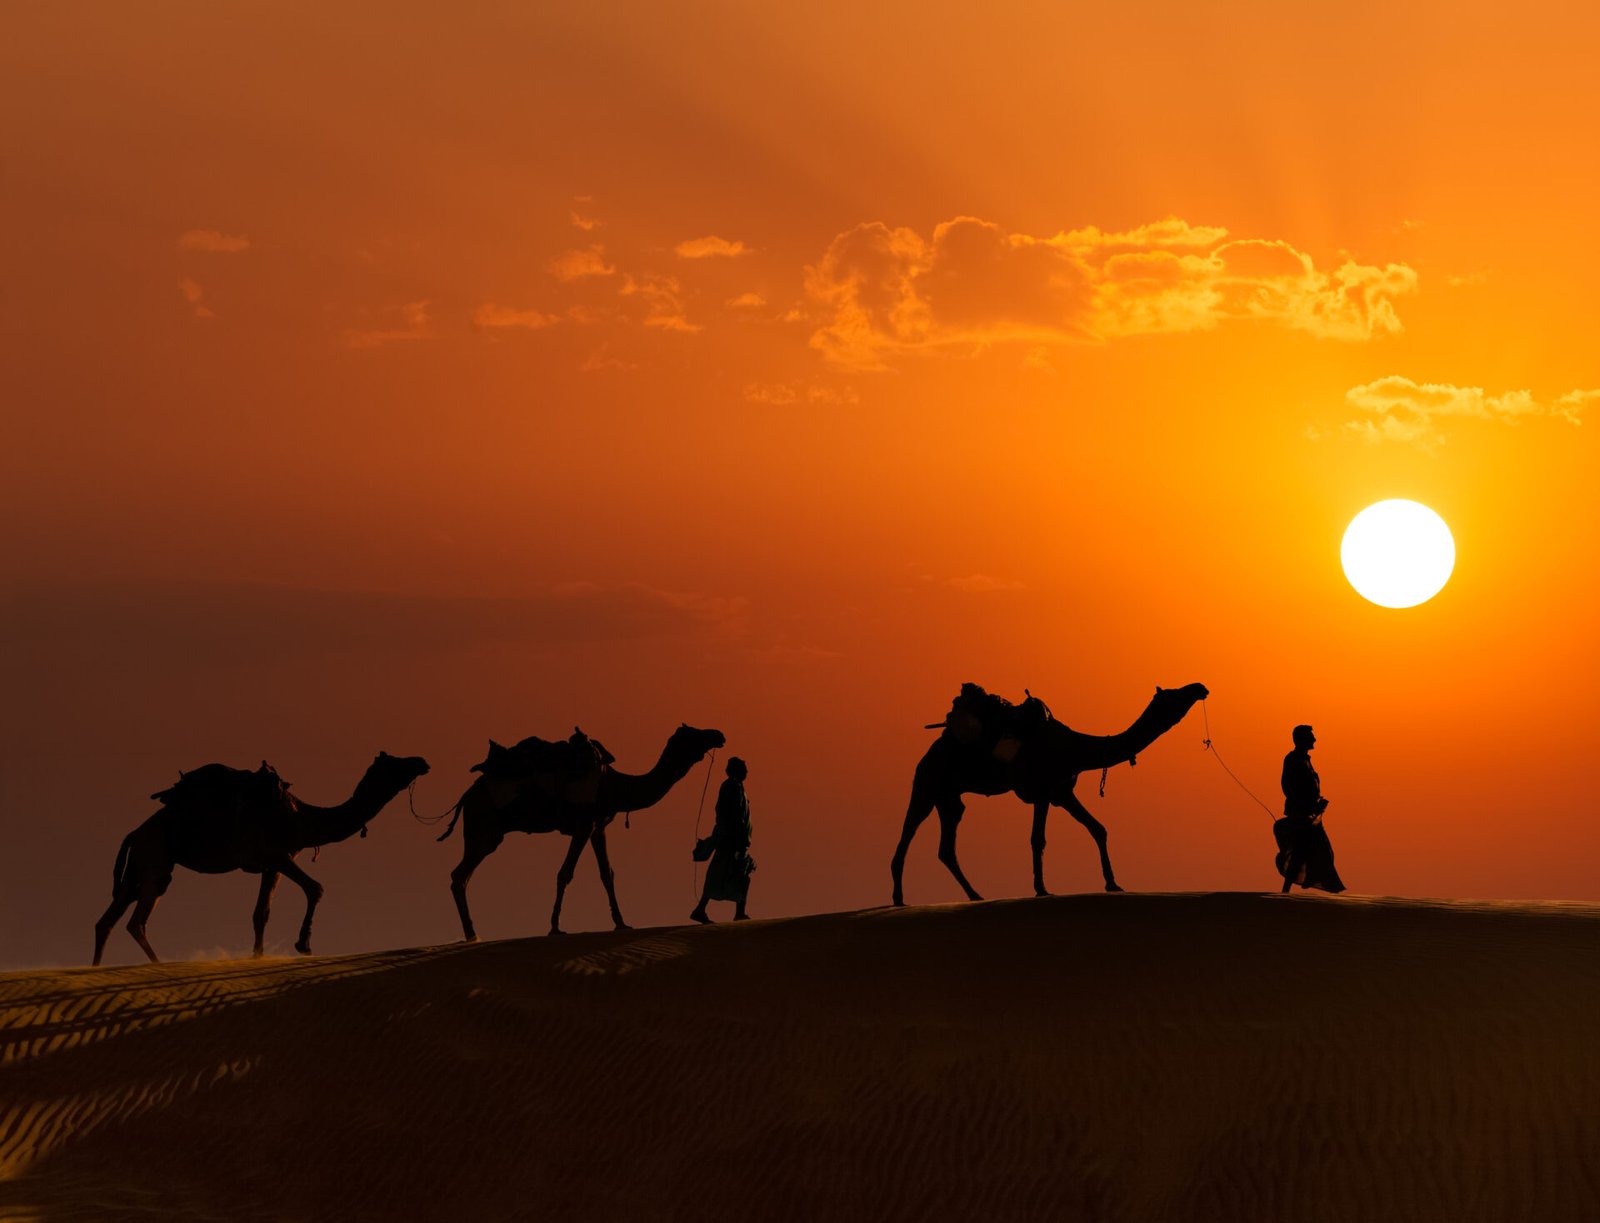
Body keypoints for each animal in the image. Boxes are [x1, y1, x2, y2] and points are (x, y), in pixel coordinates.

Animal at [92, 745, 432, 966]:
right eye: (396, 763)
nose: (422, 761)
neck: (302, 819)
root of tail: (134, 833)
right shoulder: (277, 854)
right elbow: (316, 888)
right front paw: (303, 944)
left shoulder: (273, 865)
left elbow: (261, 913)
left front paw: (258, 955)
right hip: (156, 859)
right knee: (136, 920)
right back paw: (158, 964)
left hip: (138, 865)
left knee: (107, 919)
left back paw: (96, 968)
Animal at [444, 726, 732, 934]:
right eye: (693, 733)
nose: (719, 734)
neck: (614, 786)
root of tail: (466, 796)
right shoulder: (583, 826)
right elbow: (565, 873)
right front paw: (555, 927)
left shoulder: (597, 828)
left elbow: (607, 874)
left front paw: (621, 923)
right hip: (485, 830)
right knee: (459, 875)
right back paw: (471, 933)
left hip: (483, 832)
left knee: (463, 876)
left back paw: (471, 932)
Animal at [889, 681, 1209, 902]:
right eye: (1173, 694)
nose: (1200, 687)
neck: (1077, 748)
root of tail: (931, 749)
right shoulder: (1044, 792)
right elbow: (1037, 839)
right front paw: (1041, 889)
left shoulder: (1061, 792)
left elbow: (1098, 828)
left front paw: (1113, 883)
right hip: (928, 783)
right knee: (909, 831)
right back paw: (899, 898)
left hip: (949, 797)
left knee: (946, 845)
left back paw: (974, 894)